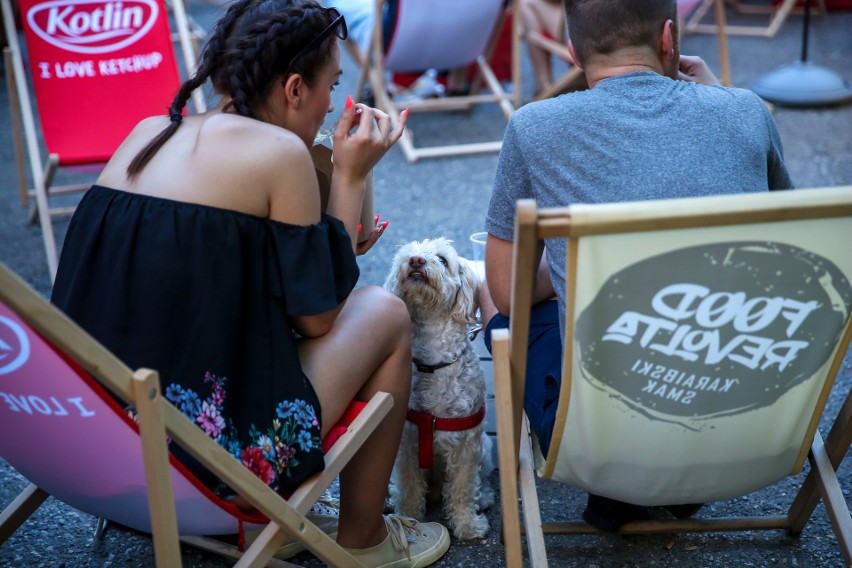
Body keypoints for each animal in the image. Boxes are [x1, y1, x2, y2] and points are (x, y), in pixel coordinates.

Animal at [384, 237, 496, 540]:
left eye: (443, 260)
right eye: (408, 254)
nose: (416, 261)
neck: (432, 362)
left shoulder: (468, 444)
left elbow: (463, 487)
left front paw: (467, 525)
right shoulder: (407, 442)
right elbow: (410, 484)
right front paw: (408, 516)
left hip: (487, 446)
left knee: (481, 477)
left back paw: (484, 497)